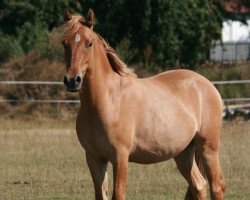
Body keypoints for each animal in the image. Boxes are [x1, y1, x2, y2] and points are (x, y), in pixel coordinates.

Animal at [61, 8, 226, 199]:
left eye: (89, 44)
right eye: (65, 43)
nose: (72, 80)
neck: (108, 101)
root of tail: (207, 85)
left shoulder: (120, 157)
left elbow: (118, 194)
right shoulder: (95, 158)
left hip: (208, 147)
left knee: (216, 186)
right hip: (184, 152)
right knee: (199, 185)